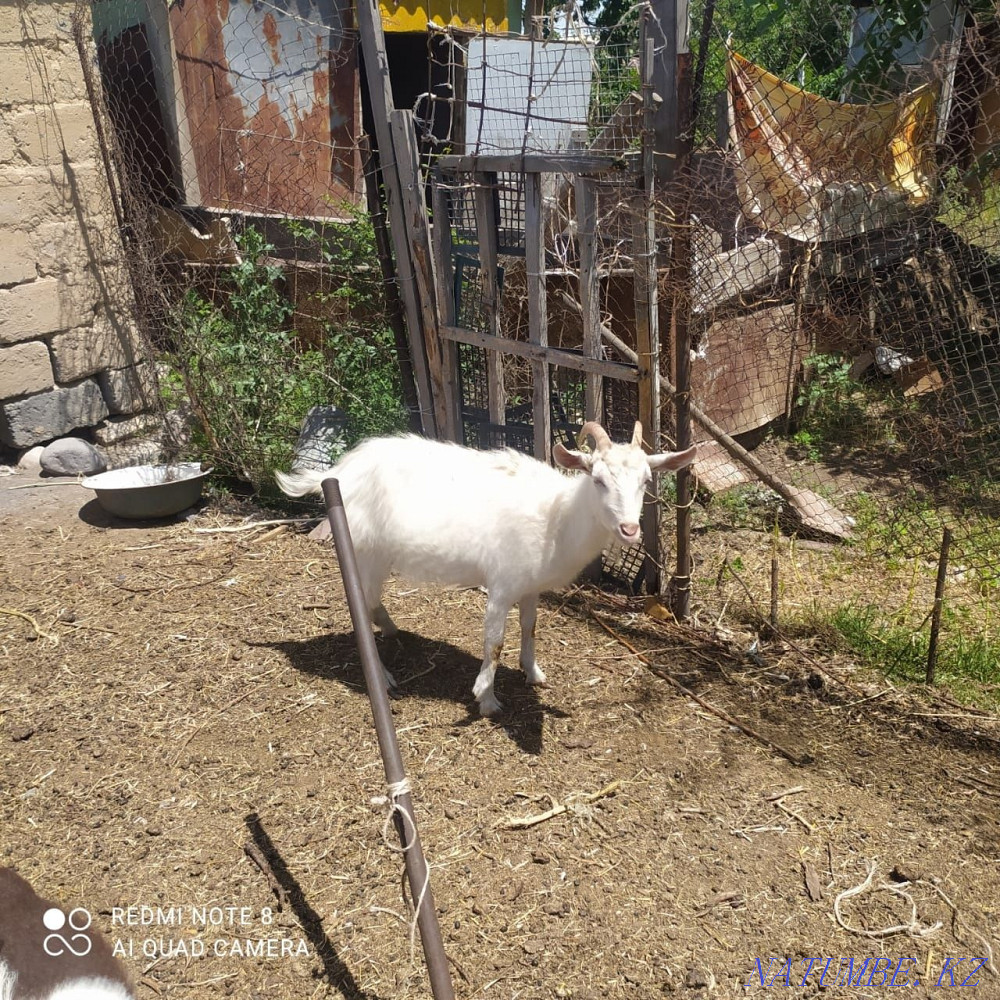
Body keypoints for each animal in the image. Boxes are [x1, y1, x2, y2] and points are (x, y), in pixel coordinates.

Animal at [276, 421, 696, 715]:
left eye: (646, 479)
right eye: (598, 479)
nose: (629, 529)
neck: (556, 517)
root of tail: (338, 471)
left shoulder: (530, 585)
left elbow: (530, 627)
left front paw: (534, 672)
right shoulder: (502, 584)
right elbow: (494, 642)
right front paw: (487, 699)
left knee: (370, 602)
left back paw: (392, 630)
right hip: (363, 550)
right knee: (360, 607)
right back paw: (383, 676)